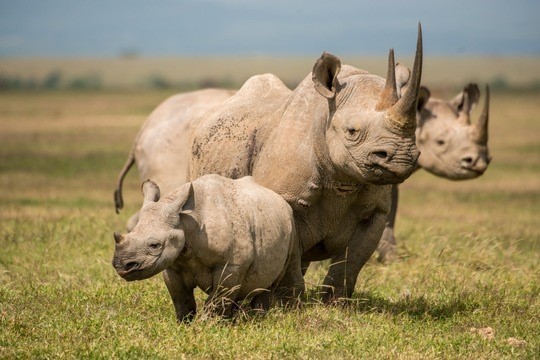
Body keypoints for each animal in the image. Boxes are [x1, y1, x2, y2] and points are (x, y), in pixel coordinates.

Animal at [112, 174, 298, 320]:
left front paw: (207, 325)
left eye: (154, 245)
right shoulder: (172, 265)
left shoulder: (231, 264)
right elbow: (181, 299)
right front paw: (184, 324)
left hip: (291, 225)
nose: (121, 265)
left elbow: (216, 299)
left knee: (271, 281)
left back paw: (257, 318)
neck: (186, 222)